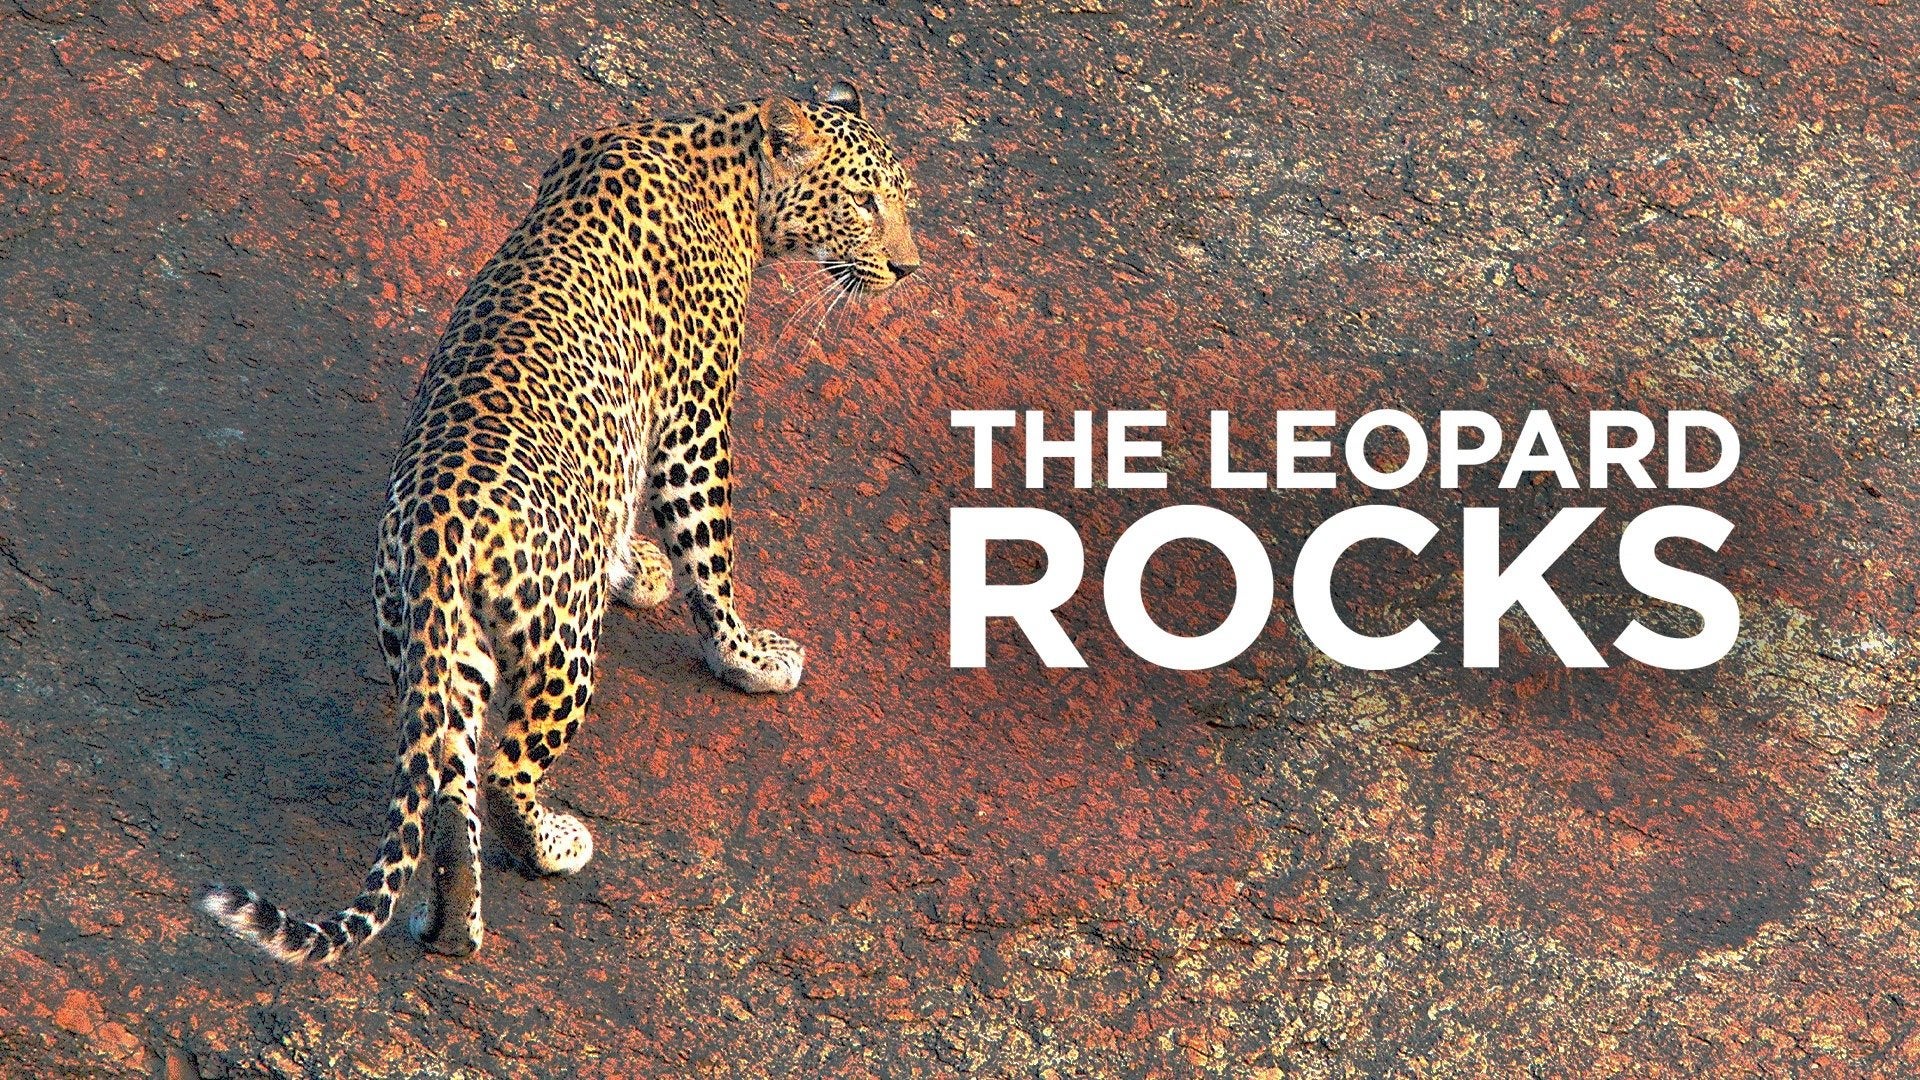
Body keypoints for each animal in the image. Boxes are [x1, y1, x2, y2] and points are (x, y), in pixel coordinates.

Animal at [199, 80, 920, 964]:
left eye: (902, 198)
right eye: (864, 201)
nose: (907, 267)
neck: (725, 163)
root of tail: (438, 527)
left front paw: (632, 564)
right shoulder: (694, 420)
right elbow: (710, 553)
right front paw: (748, 655)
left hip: (443, 653)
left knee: (451, 790)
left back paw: (455, 925)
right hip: (563, 645)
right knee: (508, 769)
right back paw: (553, 846)